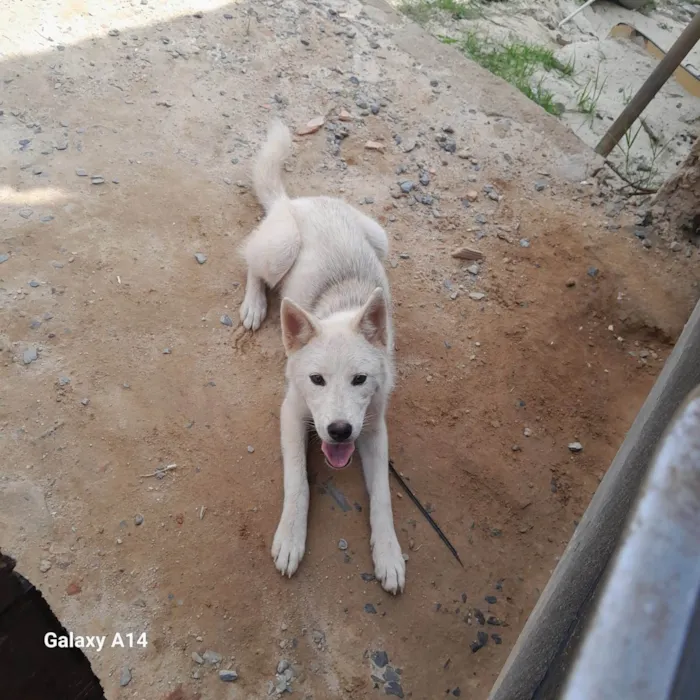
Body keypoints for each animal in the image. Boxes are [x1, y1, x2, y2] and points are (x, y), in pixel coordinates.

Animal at [239, 117, 404, 592]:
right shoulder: (292, 411)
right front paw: (291, 538)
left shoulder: (374, 427)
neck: (339, 308)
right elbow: (298, 481)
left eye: (360, 379)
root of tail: (297, 201)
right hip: (281, 249)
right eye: (316, 380)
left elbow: (383, 498)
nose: (339, 431)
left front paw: (389, 554)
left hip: (380, 237)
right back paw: (254, 305)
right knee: (251, 263)